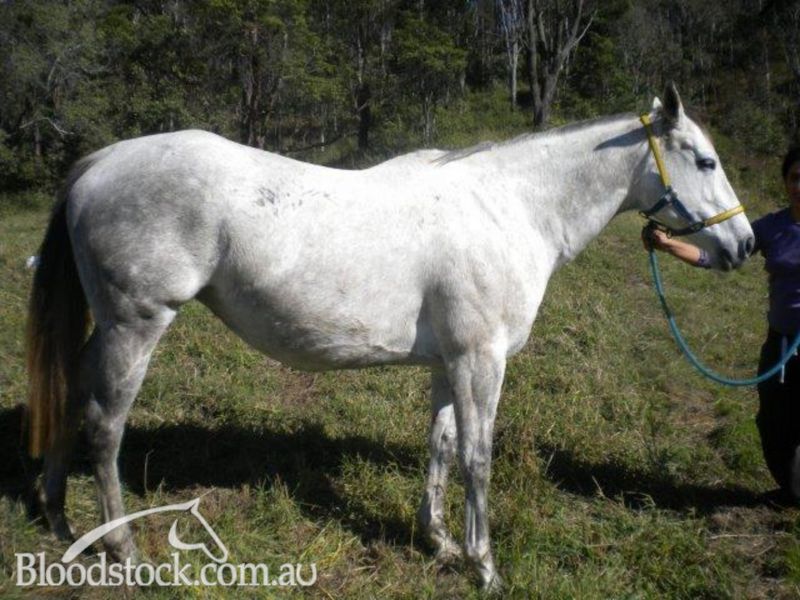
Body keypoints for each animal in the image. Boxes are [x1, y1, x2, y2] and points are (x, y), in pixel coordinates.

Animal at [26, 84, 754, 591]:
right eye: (706, 159)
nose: (744, 245)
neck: (511, 208)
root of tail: (99, 163)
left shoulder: (447, 362)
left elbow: (440, 448)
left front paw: (441, 543)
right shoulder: (481, 360)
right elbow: (478, 458)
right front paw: (485, 567)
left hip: (110, 329)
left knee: (70, 394)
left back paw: (59, 517)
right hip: (137, 325)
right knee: (105, 425)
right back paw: (121, 549)